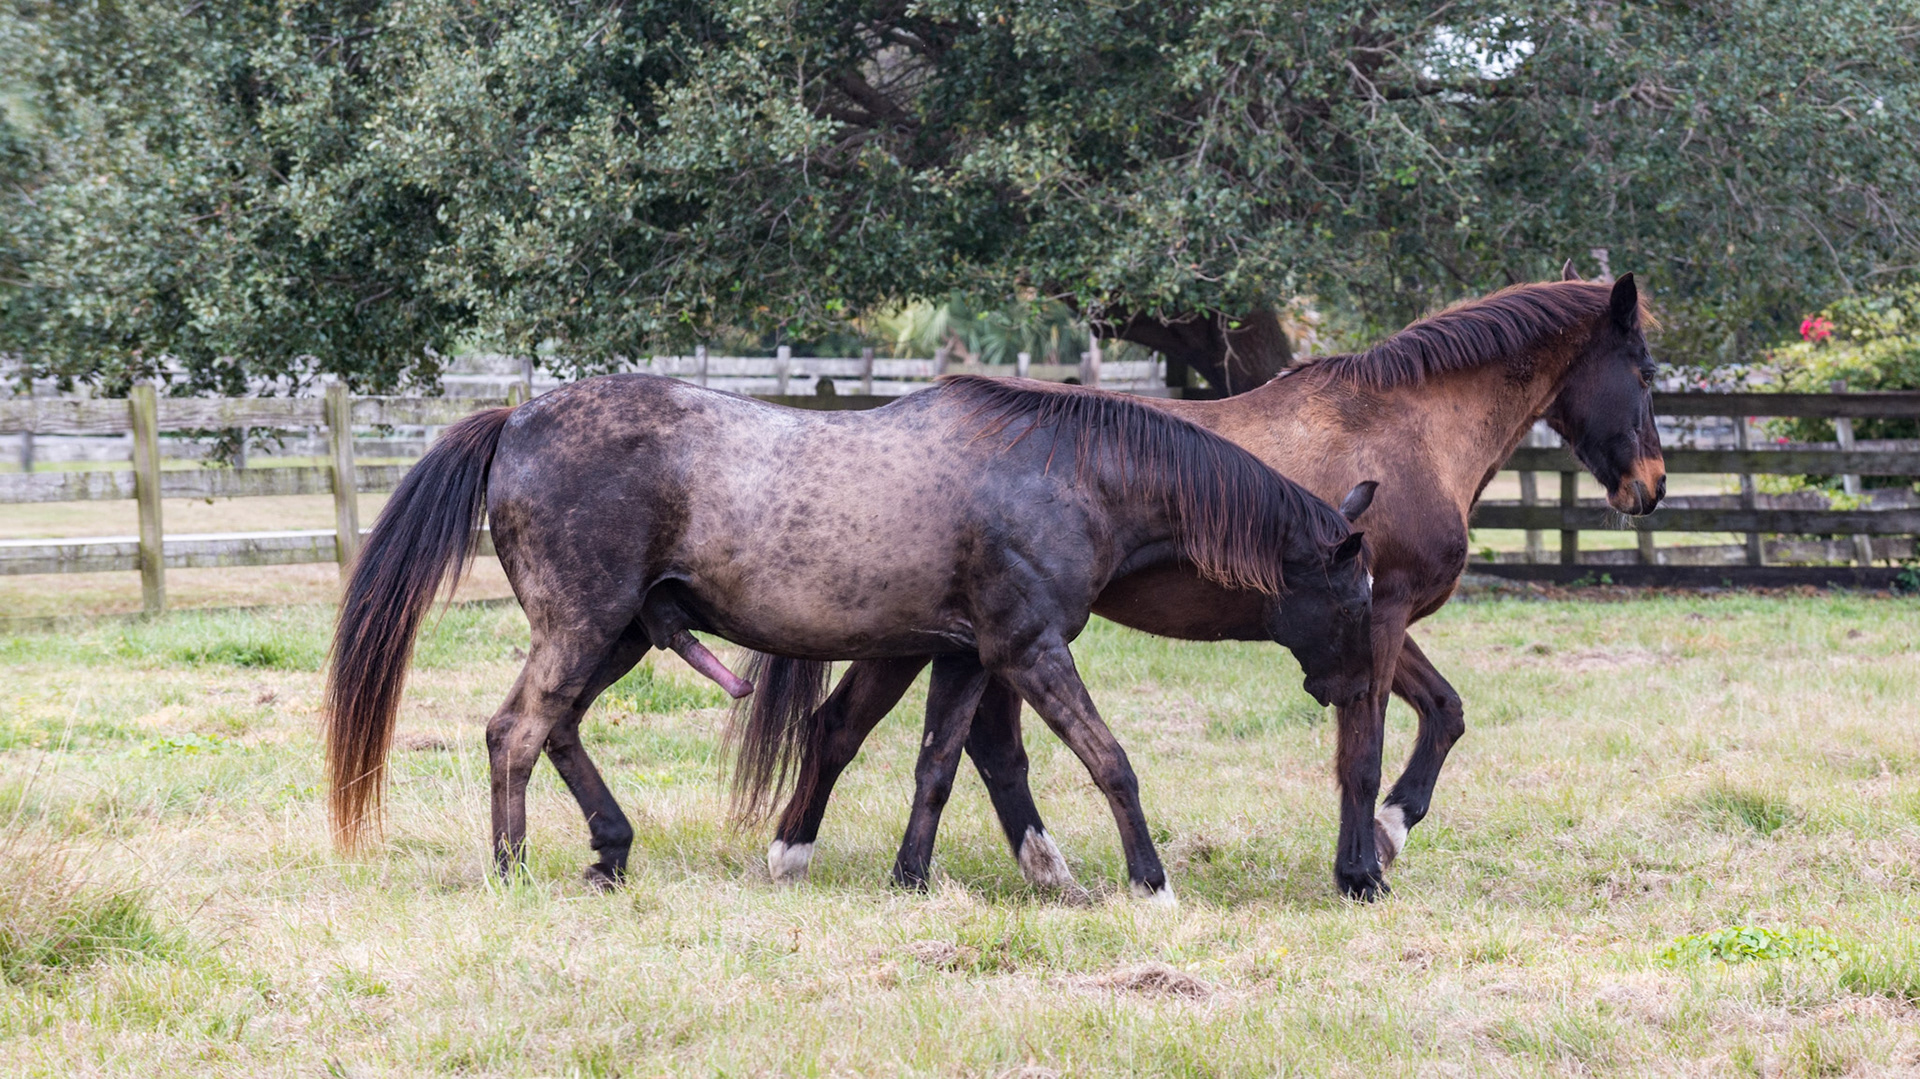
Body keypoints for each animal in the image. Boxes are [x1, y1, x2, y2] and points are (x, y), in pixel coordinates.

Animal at [323, 373, 1378, 900]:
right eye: (1355, 596)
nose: (1356, 689)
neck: (1068, 474)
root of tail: (516, 418)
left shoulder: (965, 655)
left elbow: (939, 767)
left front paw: (910, 876)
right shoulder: (1029, 650)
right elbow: (1108, 759)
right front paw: (1151, 881)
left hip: (617, 634)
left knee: (559, 728)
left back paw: (610, 850)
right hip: (583, 626)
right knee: (516, 732)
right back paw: (513, 870)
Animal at [756, 270, 1665, 900]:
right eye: (1647, 372)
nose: (1651, 485)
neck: (1402, 428)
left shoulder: (1368, 623)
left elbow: (1443, 713)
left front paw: (1388, 835)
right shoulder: (1380, 617)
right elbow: (1363, 753)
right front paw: (1361, 870)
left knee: (925, 737)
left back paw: (1035, 869)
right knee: (906, 735)